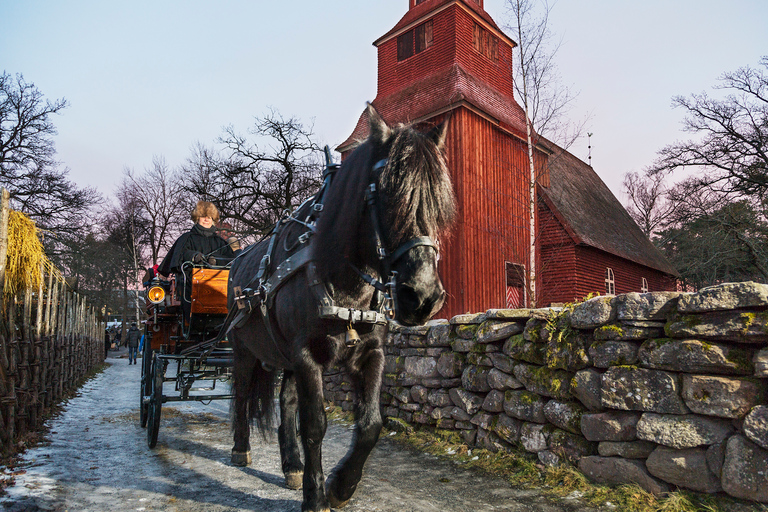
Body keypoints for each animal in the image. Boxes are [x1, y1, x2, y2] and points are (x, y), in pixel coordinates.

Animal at [226, 105, 456, 512]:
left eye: (439, 204)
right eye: (387, 195)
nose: (424, 296)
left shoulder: (370, 353)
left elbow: (370, 424)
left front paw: (340, 486)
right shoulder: (306, 355)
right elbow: (314, 424)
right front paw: (316, 496)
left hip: (284, 355)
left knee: (286, 402)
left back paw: (292, 464)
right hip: (244, 350)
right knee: (241, 393)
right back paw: (241, 449)